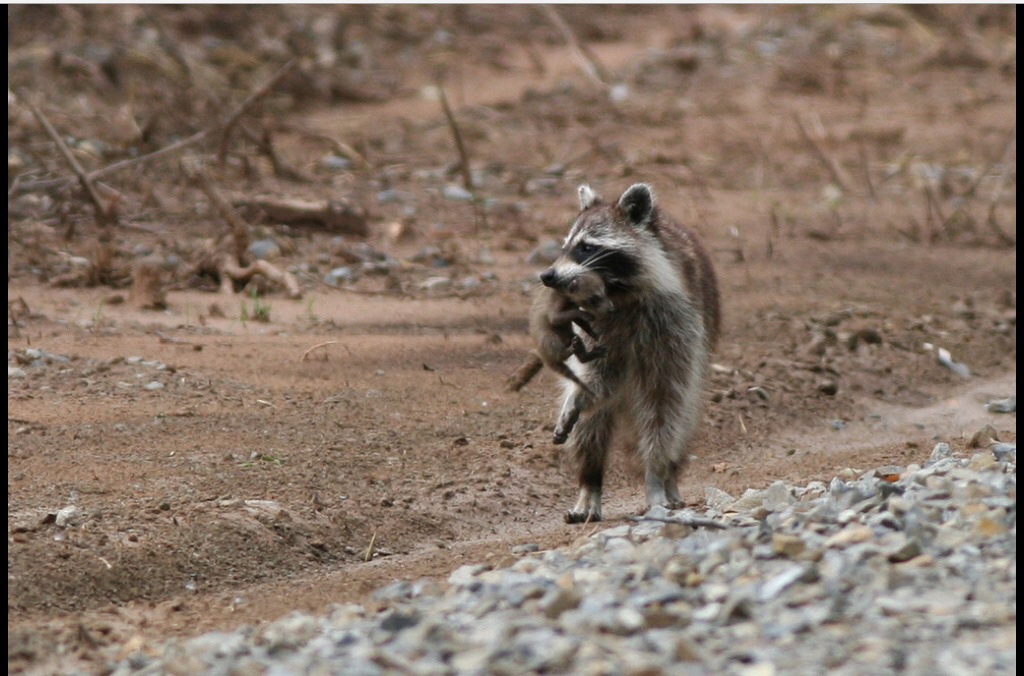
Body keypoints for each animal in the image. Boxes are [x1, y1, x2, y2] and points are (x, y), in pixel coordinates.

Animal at [536, 181, 720, 522]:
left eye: (586, 247)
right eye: (565, 246)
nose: (548, 276)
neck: (618, 292)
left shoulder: (678, 326)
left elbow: (665, 404)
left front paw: (656, 472)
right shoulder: (597, 328)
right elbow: (595, 378)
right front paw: (576, 399)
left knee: (677, 417)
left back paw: (665, 476)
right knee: (590, 427)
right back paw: (589, 483)